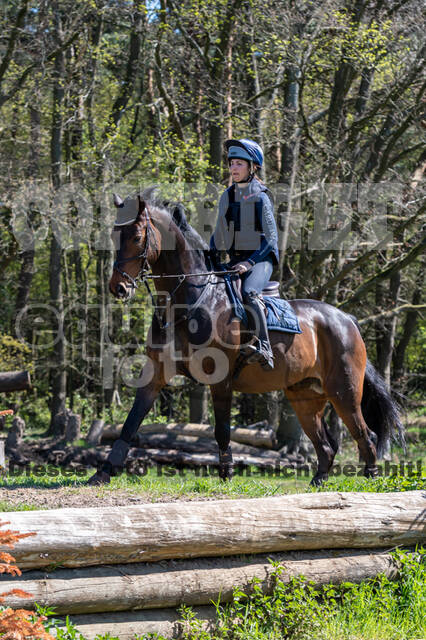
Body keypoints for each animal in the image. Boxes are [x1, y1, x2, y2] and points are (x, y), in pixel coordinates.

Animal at [88, 190, 404, 484]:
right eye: (115, 235)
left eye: (137, 236)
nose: (118, 288)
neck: (188, 301)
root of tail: (347, 319)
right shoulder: (156, 373)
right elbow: (131, 422)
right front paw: (103, 472)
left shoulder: (221, 379)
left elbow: (222, 429)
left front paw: (226, 474)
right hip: (305, 397)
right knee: (326, 445)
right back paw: (318, 483)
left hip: (344, 392)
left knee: (365, 435)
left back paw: (370, 480)